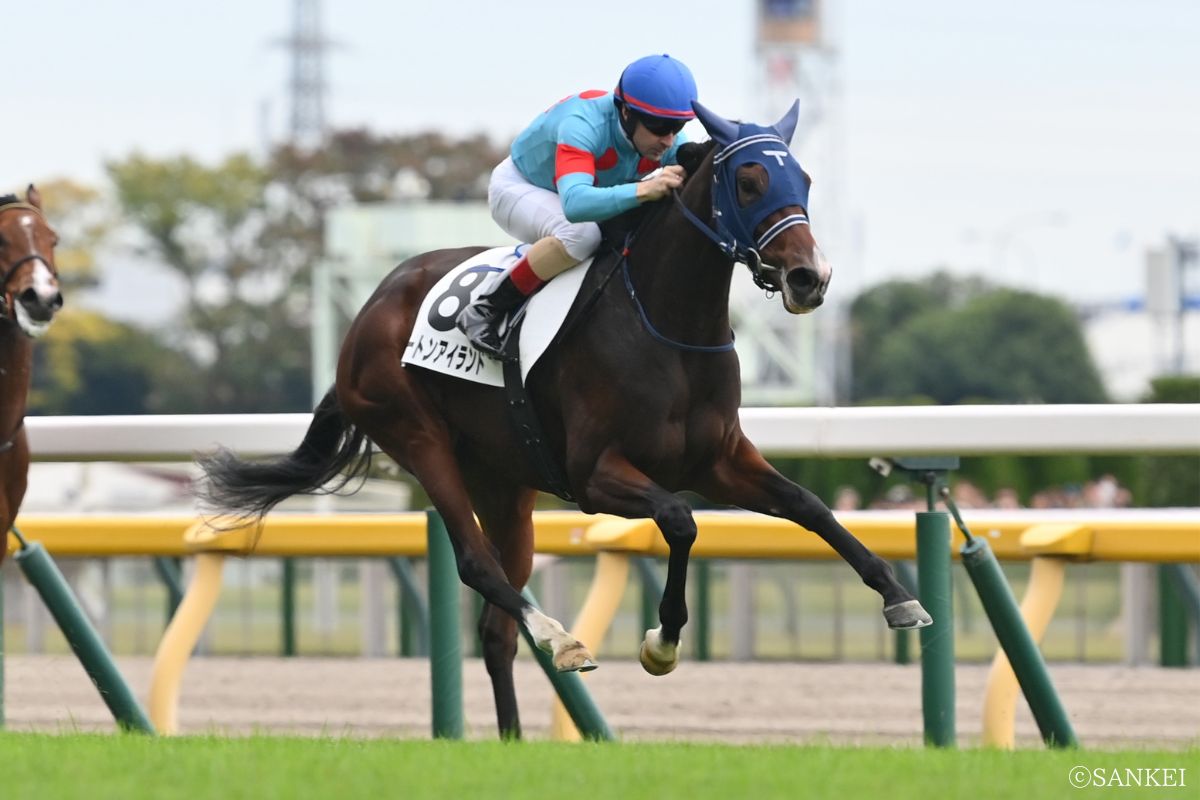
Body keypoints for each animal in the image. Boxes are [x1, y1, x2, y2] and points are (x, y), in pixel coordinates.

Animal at [199, 101, 931, 738]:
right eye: (749, 180)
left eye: (801, 178)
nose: (811, 277)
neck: (668, 325)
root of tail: (369, 311)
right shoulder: (596, 474)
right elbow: (679, 521)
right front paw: (662, 640)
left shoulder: (719, 461)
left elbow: (810, 506)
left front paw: (898, 594)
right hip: (417, 436)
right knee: (476, 565)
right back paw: (561, 638)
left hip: (505, 483)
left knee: (494, 628)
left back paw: (515, 737)